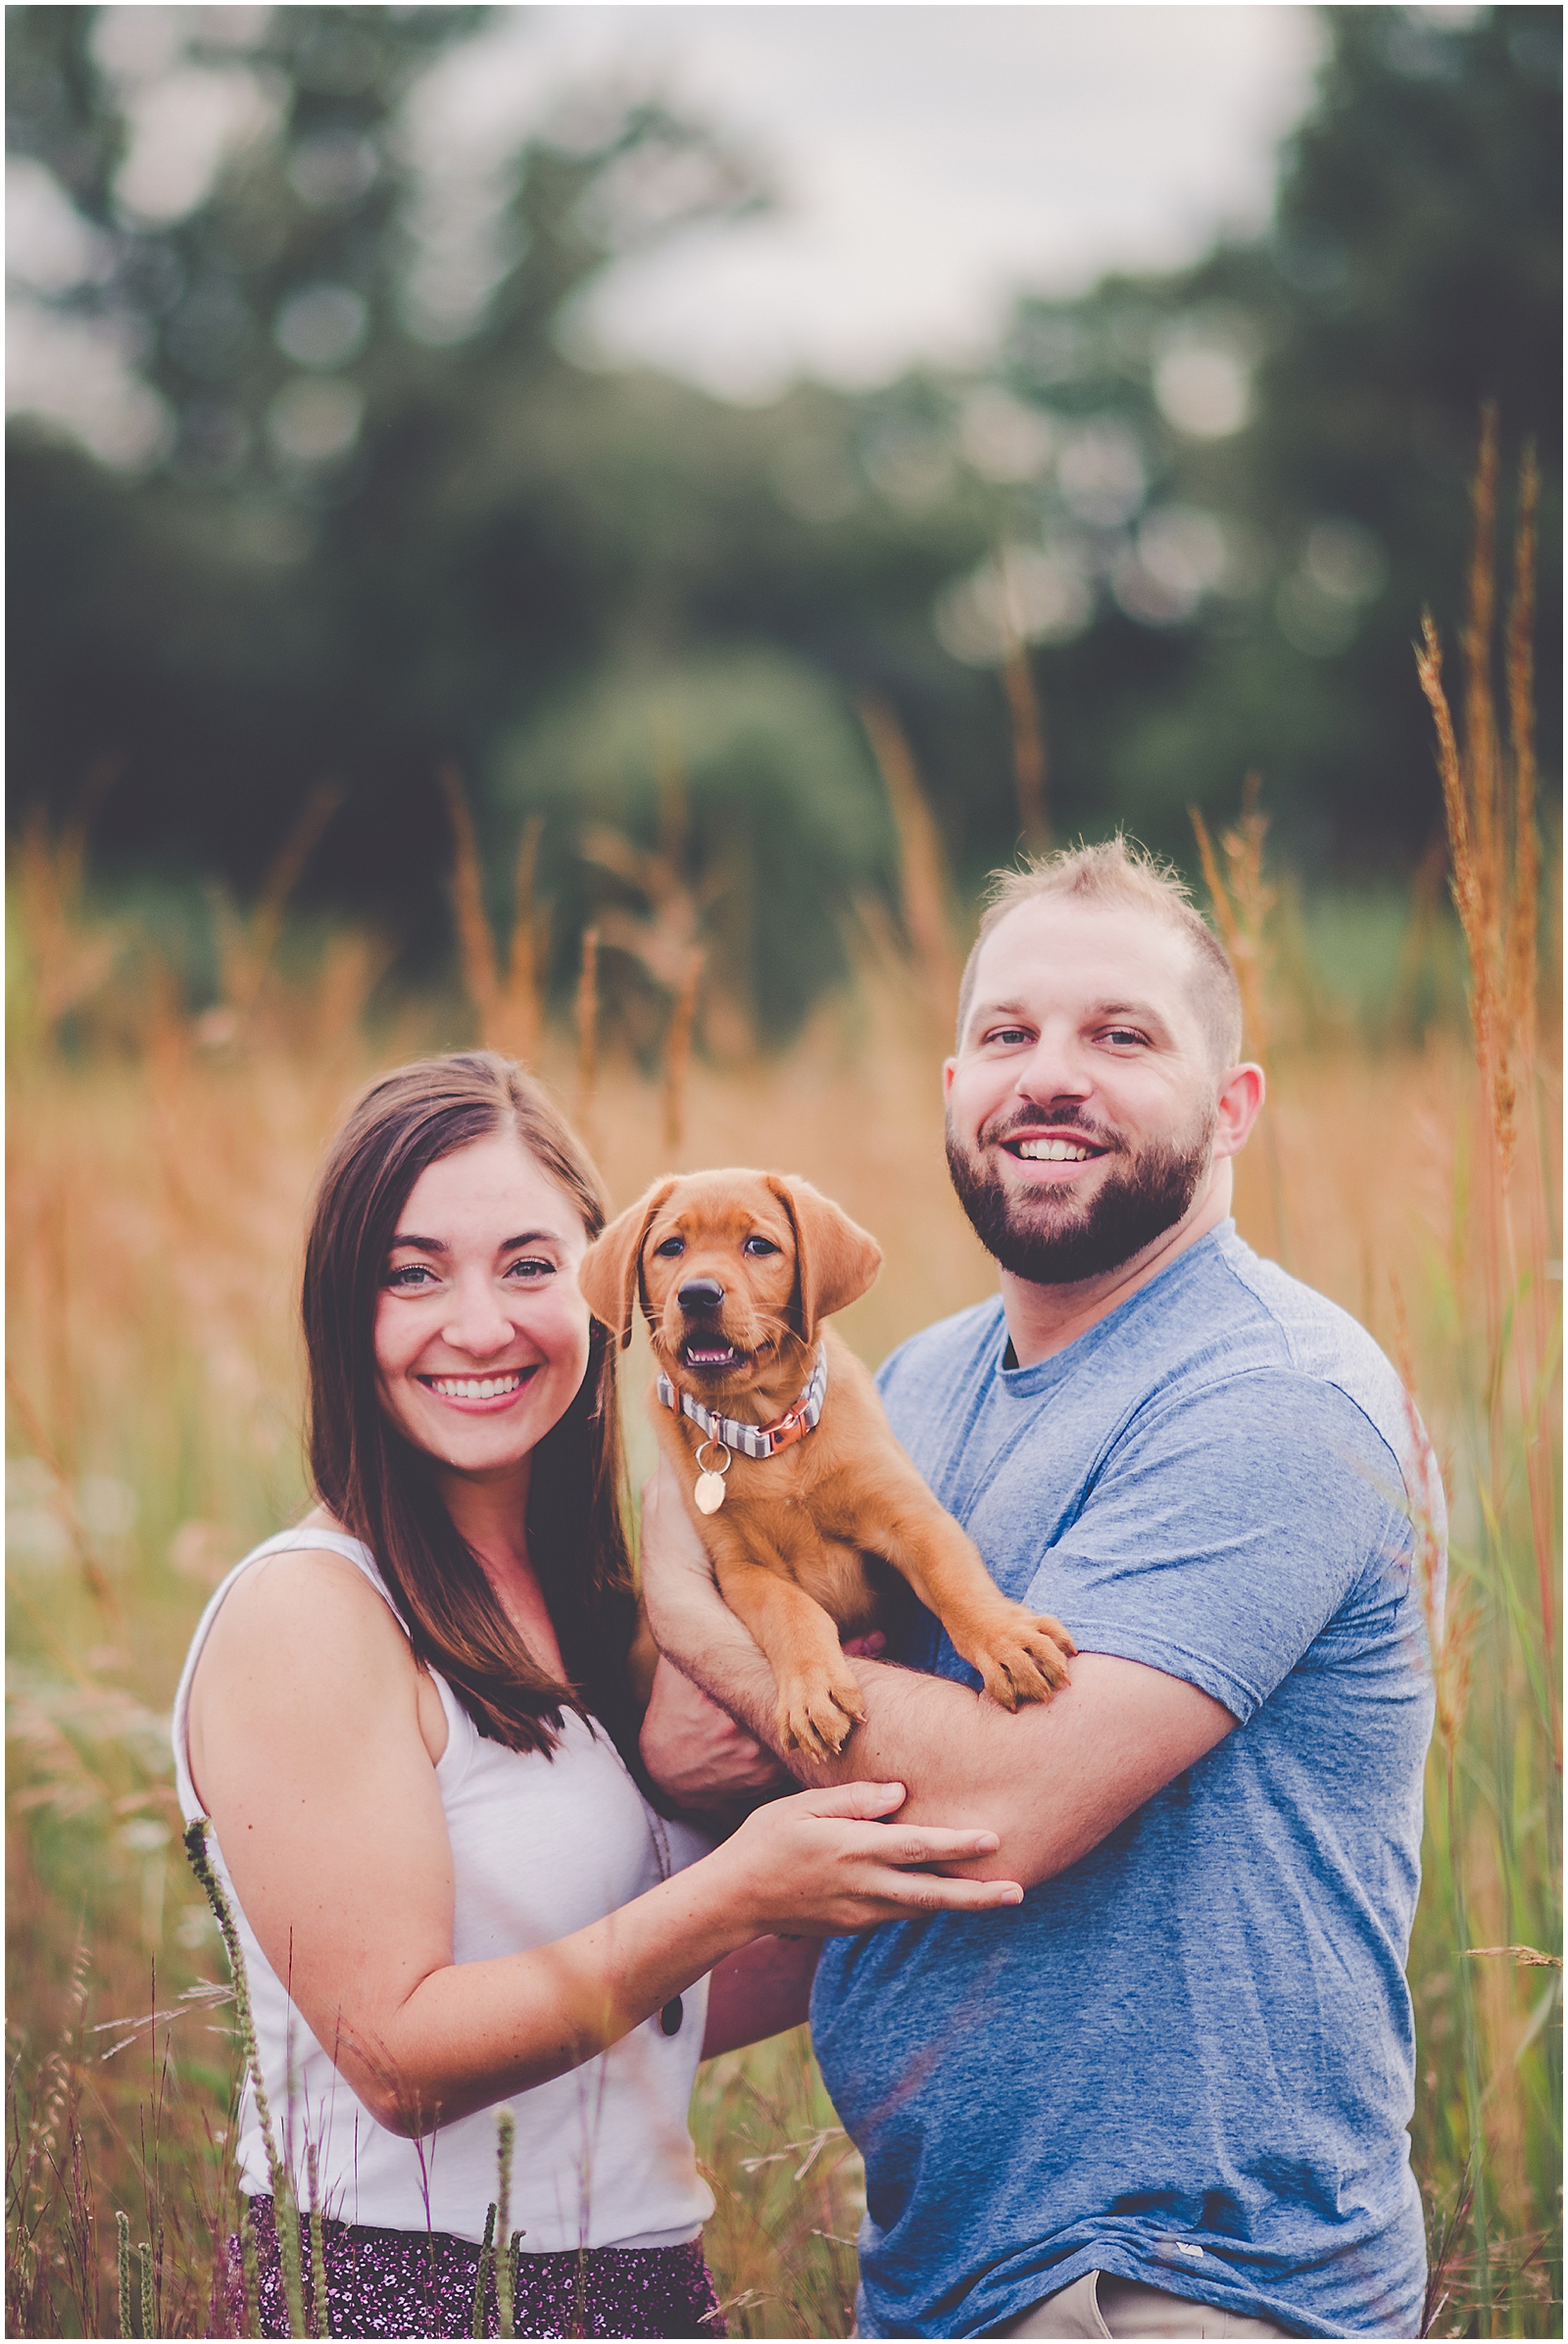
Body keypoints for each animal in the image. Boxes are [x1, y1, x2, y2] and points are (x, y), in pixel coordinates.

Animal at [573, 1172, 1078, 1762]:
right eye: (671, 1247)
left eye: (759, 1245)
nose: (697, 1293)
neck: (765, 1431)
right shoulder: (742, 1569)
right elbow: (792, 1611)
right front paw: (813, 1692)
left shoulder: (910, 1517)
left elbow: (954, 1579)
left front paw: (1006, 1640)